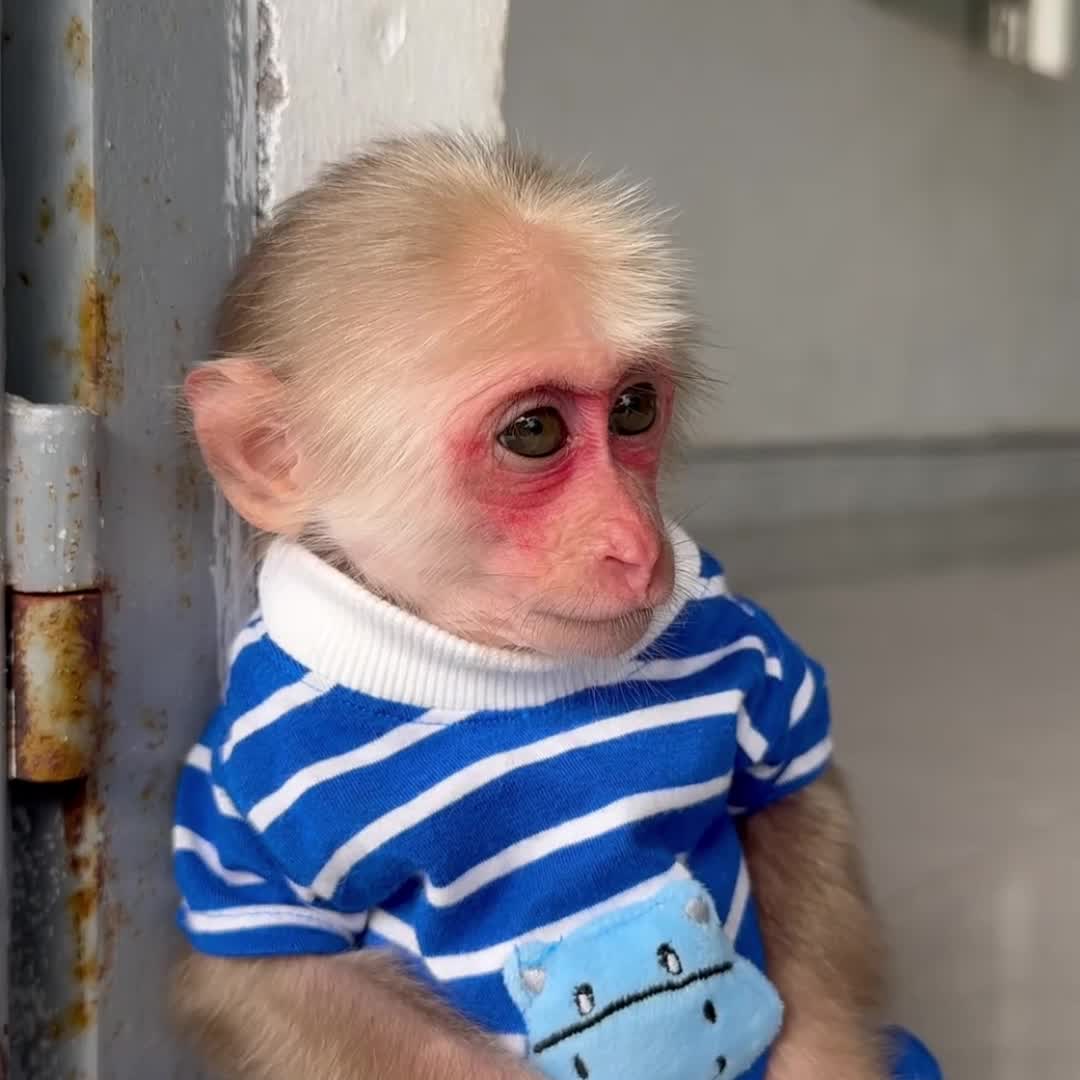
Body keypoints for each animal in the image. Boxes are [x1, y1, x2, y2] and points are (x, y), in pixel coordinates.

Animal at [171, 133, 890, 1080]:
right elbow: (271, 978)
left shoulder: (730, 615)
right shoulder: (247, 760)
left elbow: (786, 794)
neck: (482, 667)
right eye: (536, 432)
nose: (636, 540)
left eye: (634, 410)